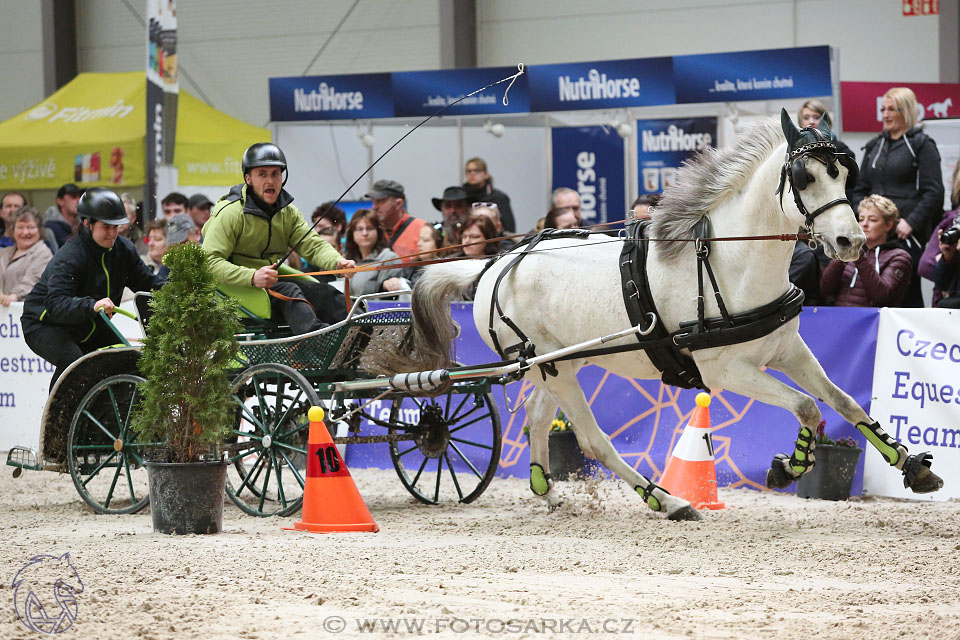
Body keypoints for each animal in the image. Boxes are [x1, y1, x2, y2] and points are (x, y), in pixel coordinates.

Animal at [384, 110, 944, 520]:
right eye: (804, 177)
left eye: (845, 173)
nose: (851, 242)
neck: (730, 263)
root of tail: (495, 264)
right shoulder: (726, 370)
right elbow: (807, 407)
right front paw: (790, 466)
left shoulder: (787, 350)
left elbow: (843, 401)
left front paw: (912, 466)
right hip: (555, 368)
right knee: (591, 439)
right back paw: (666, 500)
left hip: (558, 364)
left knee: (538, 422)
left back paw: (550, 492)